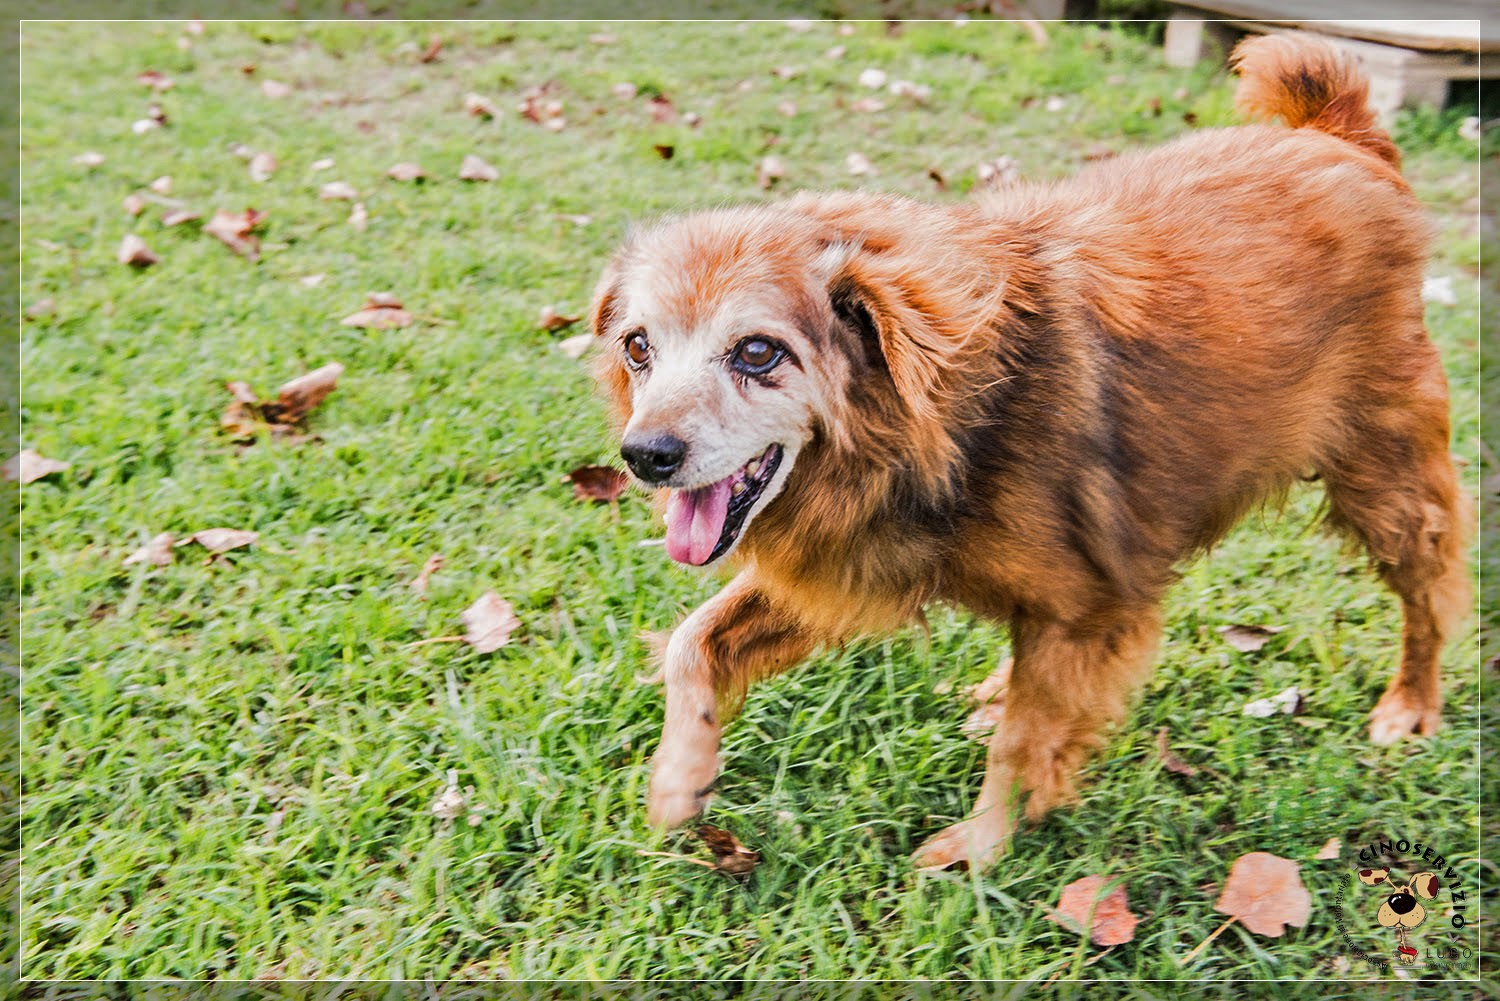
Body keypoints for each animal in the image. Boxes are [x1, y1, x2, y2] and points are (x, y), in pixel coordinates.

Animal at [588, 34, 1470, 869]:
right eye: (638, 347)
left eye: (758, 352)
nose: (645, 455)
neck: (933, 423)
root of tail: (1337, 137)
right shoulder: (860, 552)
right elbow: (693, 641)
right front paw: (680, 777)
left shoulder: (1089, 606)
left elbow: (1025, 742)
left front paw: (980, 846)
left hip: (1385, 482)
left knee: (1429, 595)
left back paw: (1411, 704)